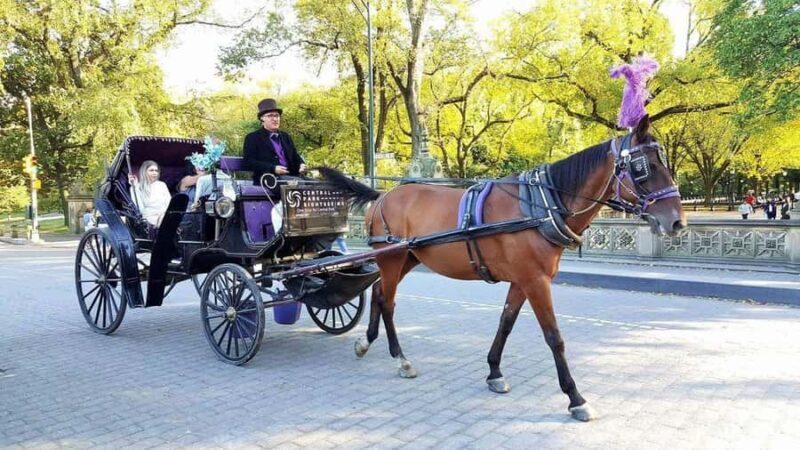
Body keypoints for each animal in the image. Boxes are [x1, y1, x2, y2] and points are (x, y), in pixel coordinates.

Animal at [319, 115, 686, 421]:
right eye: (643, 167)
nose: (677, 222)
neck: (540, 206)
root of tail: (384, 196)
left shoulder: (522, 280)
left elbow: (506, 323)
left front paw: (494, 372)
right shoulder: (536, 281)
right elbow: (554, 337)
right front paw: (575, 397)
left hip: (406, 258)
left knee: (379, 292)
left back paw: (369, 342)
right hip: (392, 258)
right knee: (389, 301)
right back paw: (400, 357)